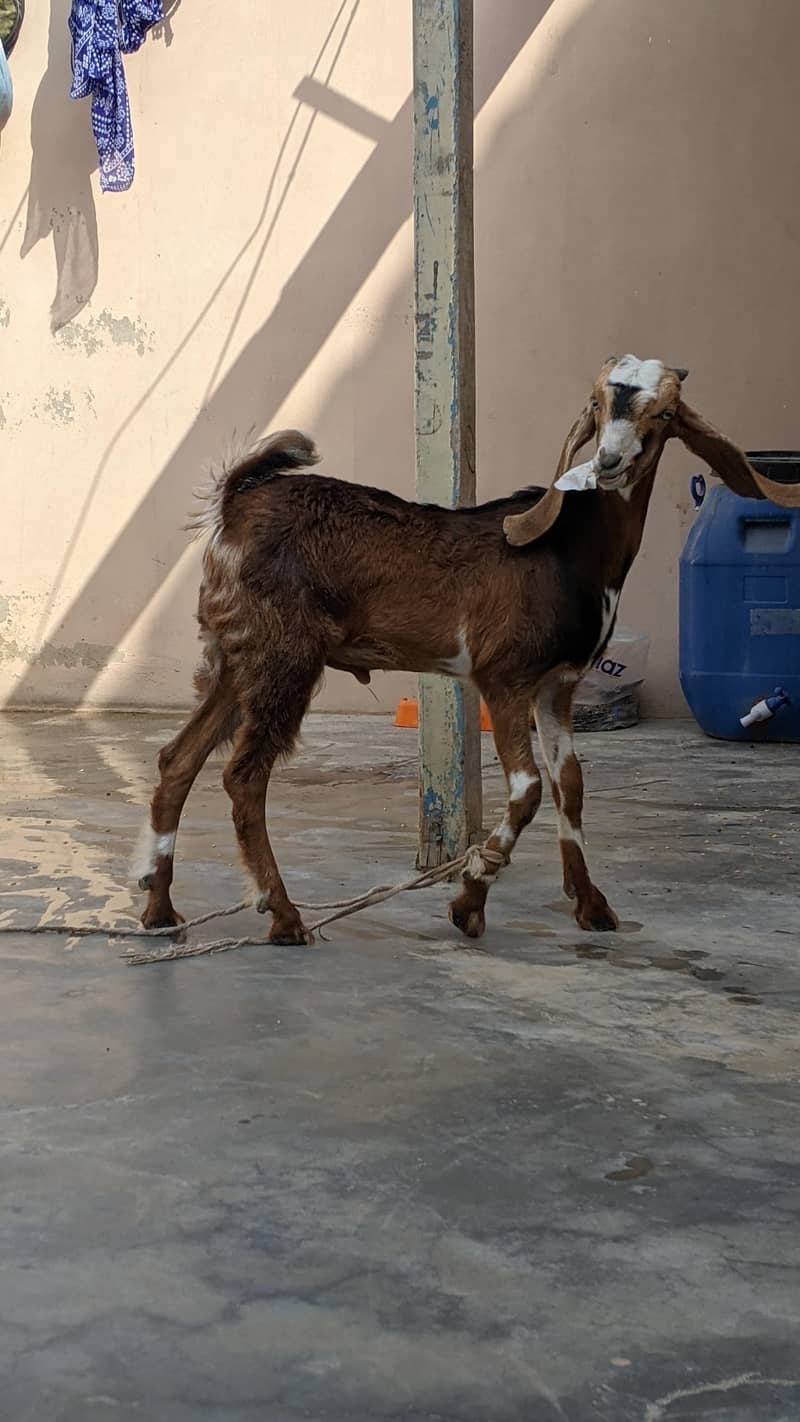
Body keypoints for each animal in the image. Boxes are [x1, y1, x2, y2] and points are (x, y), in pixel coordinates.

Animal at [135, 354, 800, 944]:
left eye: (663, 413)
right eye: (597, 404)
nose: (609, 462)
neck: (570, 546)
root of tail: (234, 504)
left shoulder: (559, 684)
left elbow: (571, 783)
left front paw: (591, 905)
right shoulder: (505, 677)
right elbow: (528, 790)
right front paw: (470, 899)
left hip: (235, 658)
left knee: (178, 758)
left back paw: (159, 908)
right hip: (283, 657)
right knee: (243, 775)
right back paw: (283, 915)